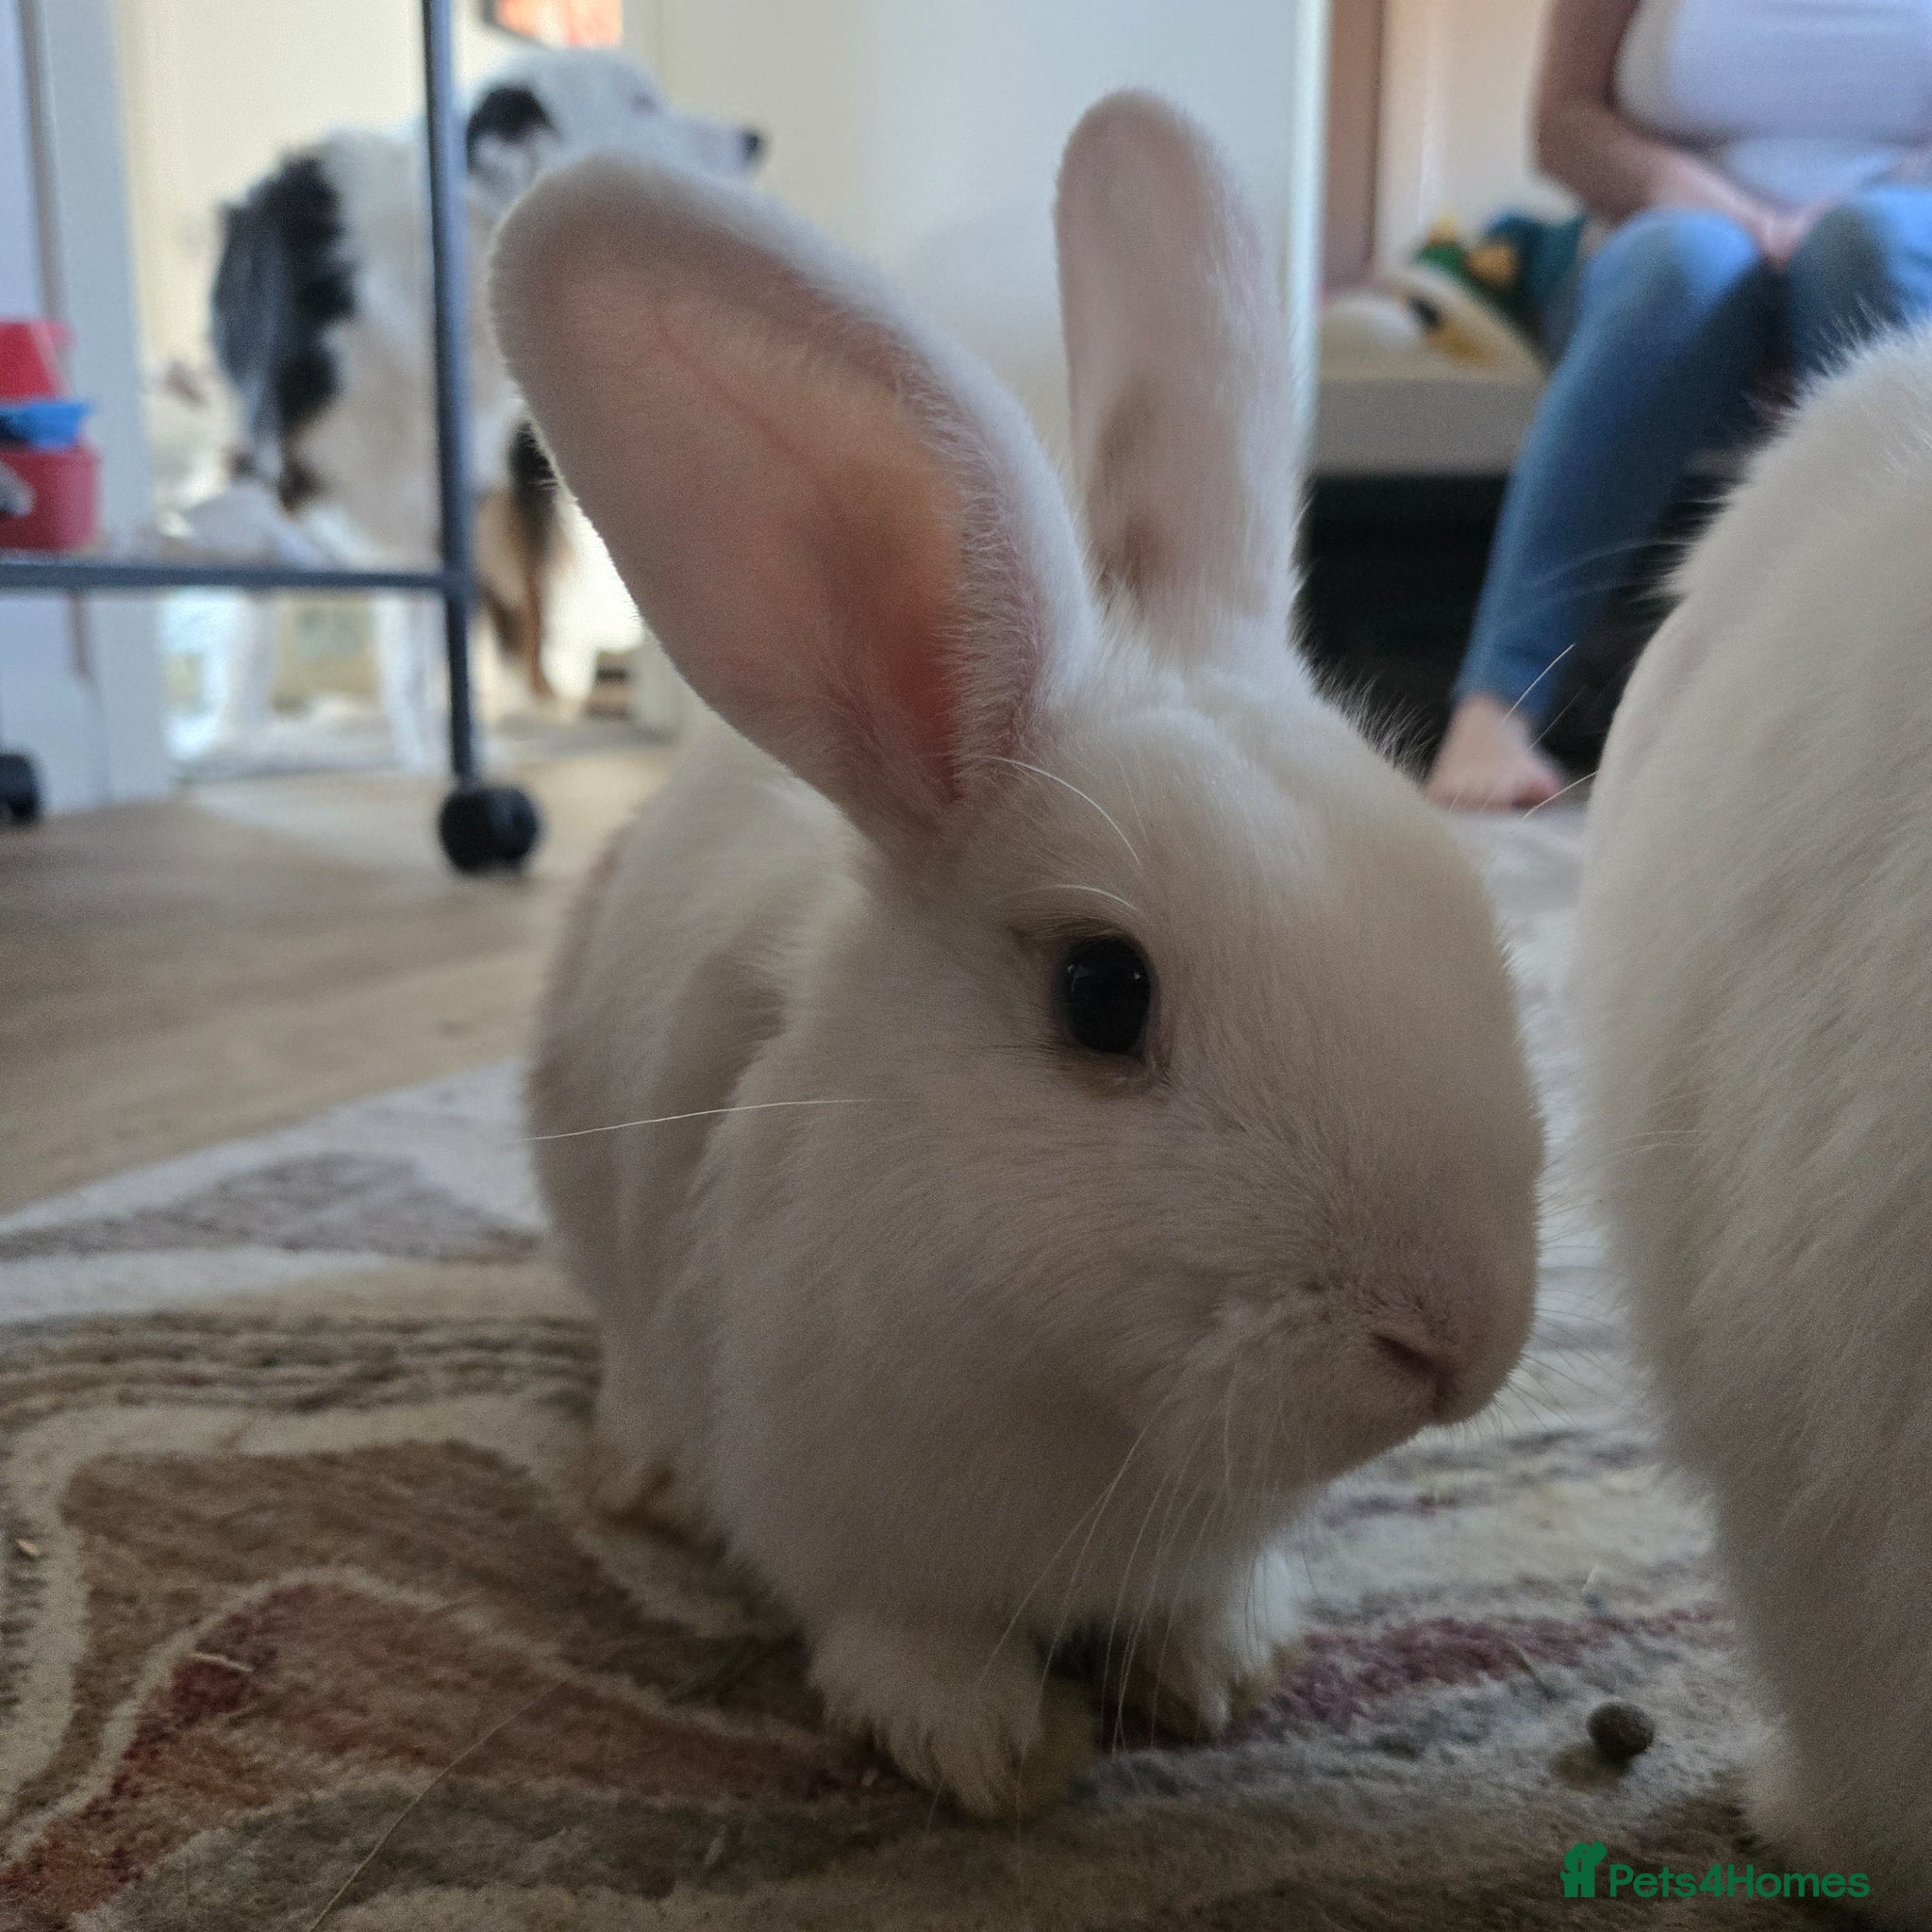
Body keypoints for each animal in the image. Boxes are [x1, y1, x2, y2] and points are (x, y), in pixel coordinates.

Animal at [494, 91, 1541, 1820]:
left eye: (1460, 897)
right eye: (1103, 994)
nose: (1455, 1339)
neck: (1097, 1415)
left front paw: (1220, 1662)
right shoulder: (839, 1525)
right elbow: (894, 1633)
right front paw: (983, 1744)